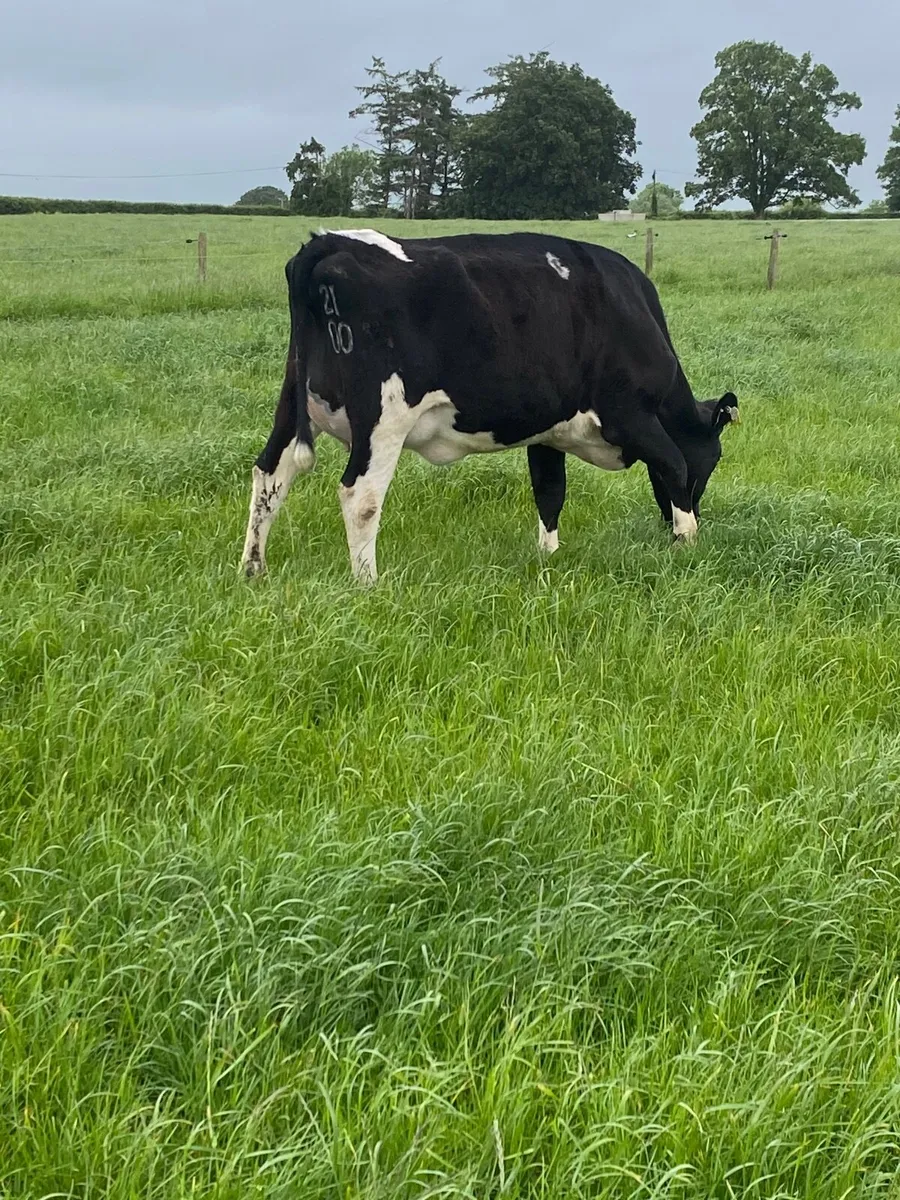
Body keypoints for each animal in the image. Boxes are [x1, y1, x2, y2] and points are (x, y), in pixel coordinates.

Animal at [241, 229, 739, 584]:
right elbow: (674, 465)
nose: (699, 514)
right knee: (360, 495)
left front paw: (548, 558)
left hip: (293, 402)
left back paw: (253, 571)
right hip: (383, 420)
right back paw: (368, 584)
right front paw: (686, 542)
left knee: (271, 474)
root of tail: (328, 241)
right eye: (713, 460)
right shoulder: (631, 414)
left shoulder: (547, 430)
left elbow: (549, 491)